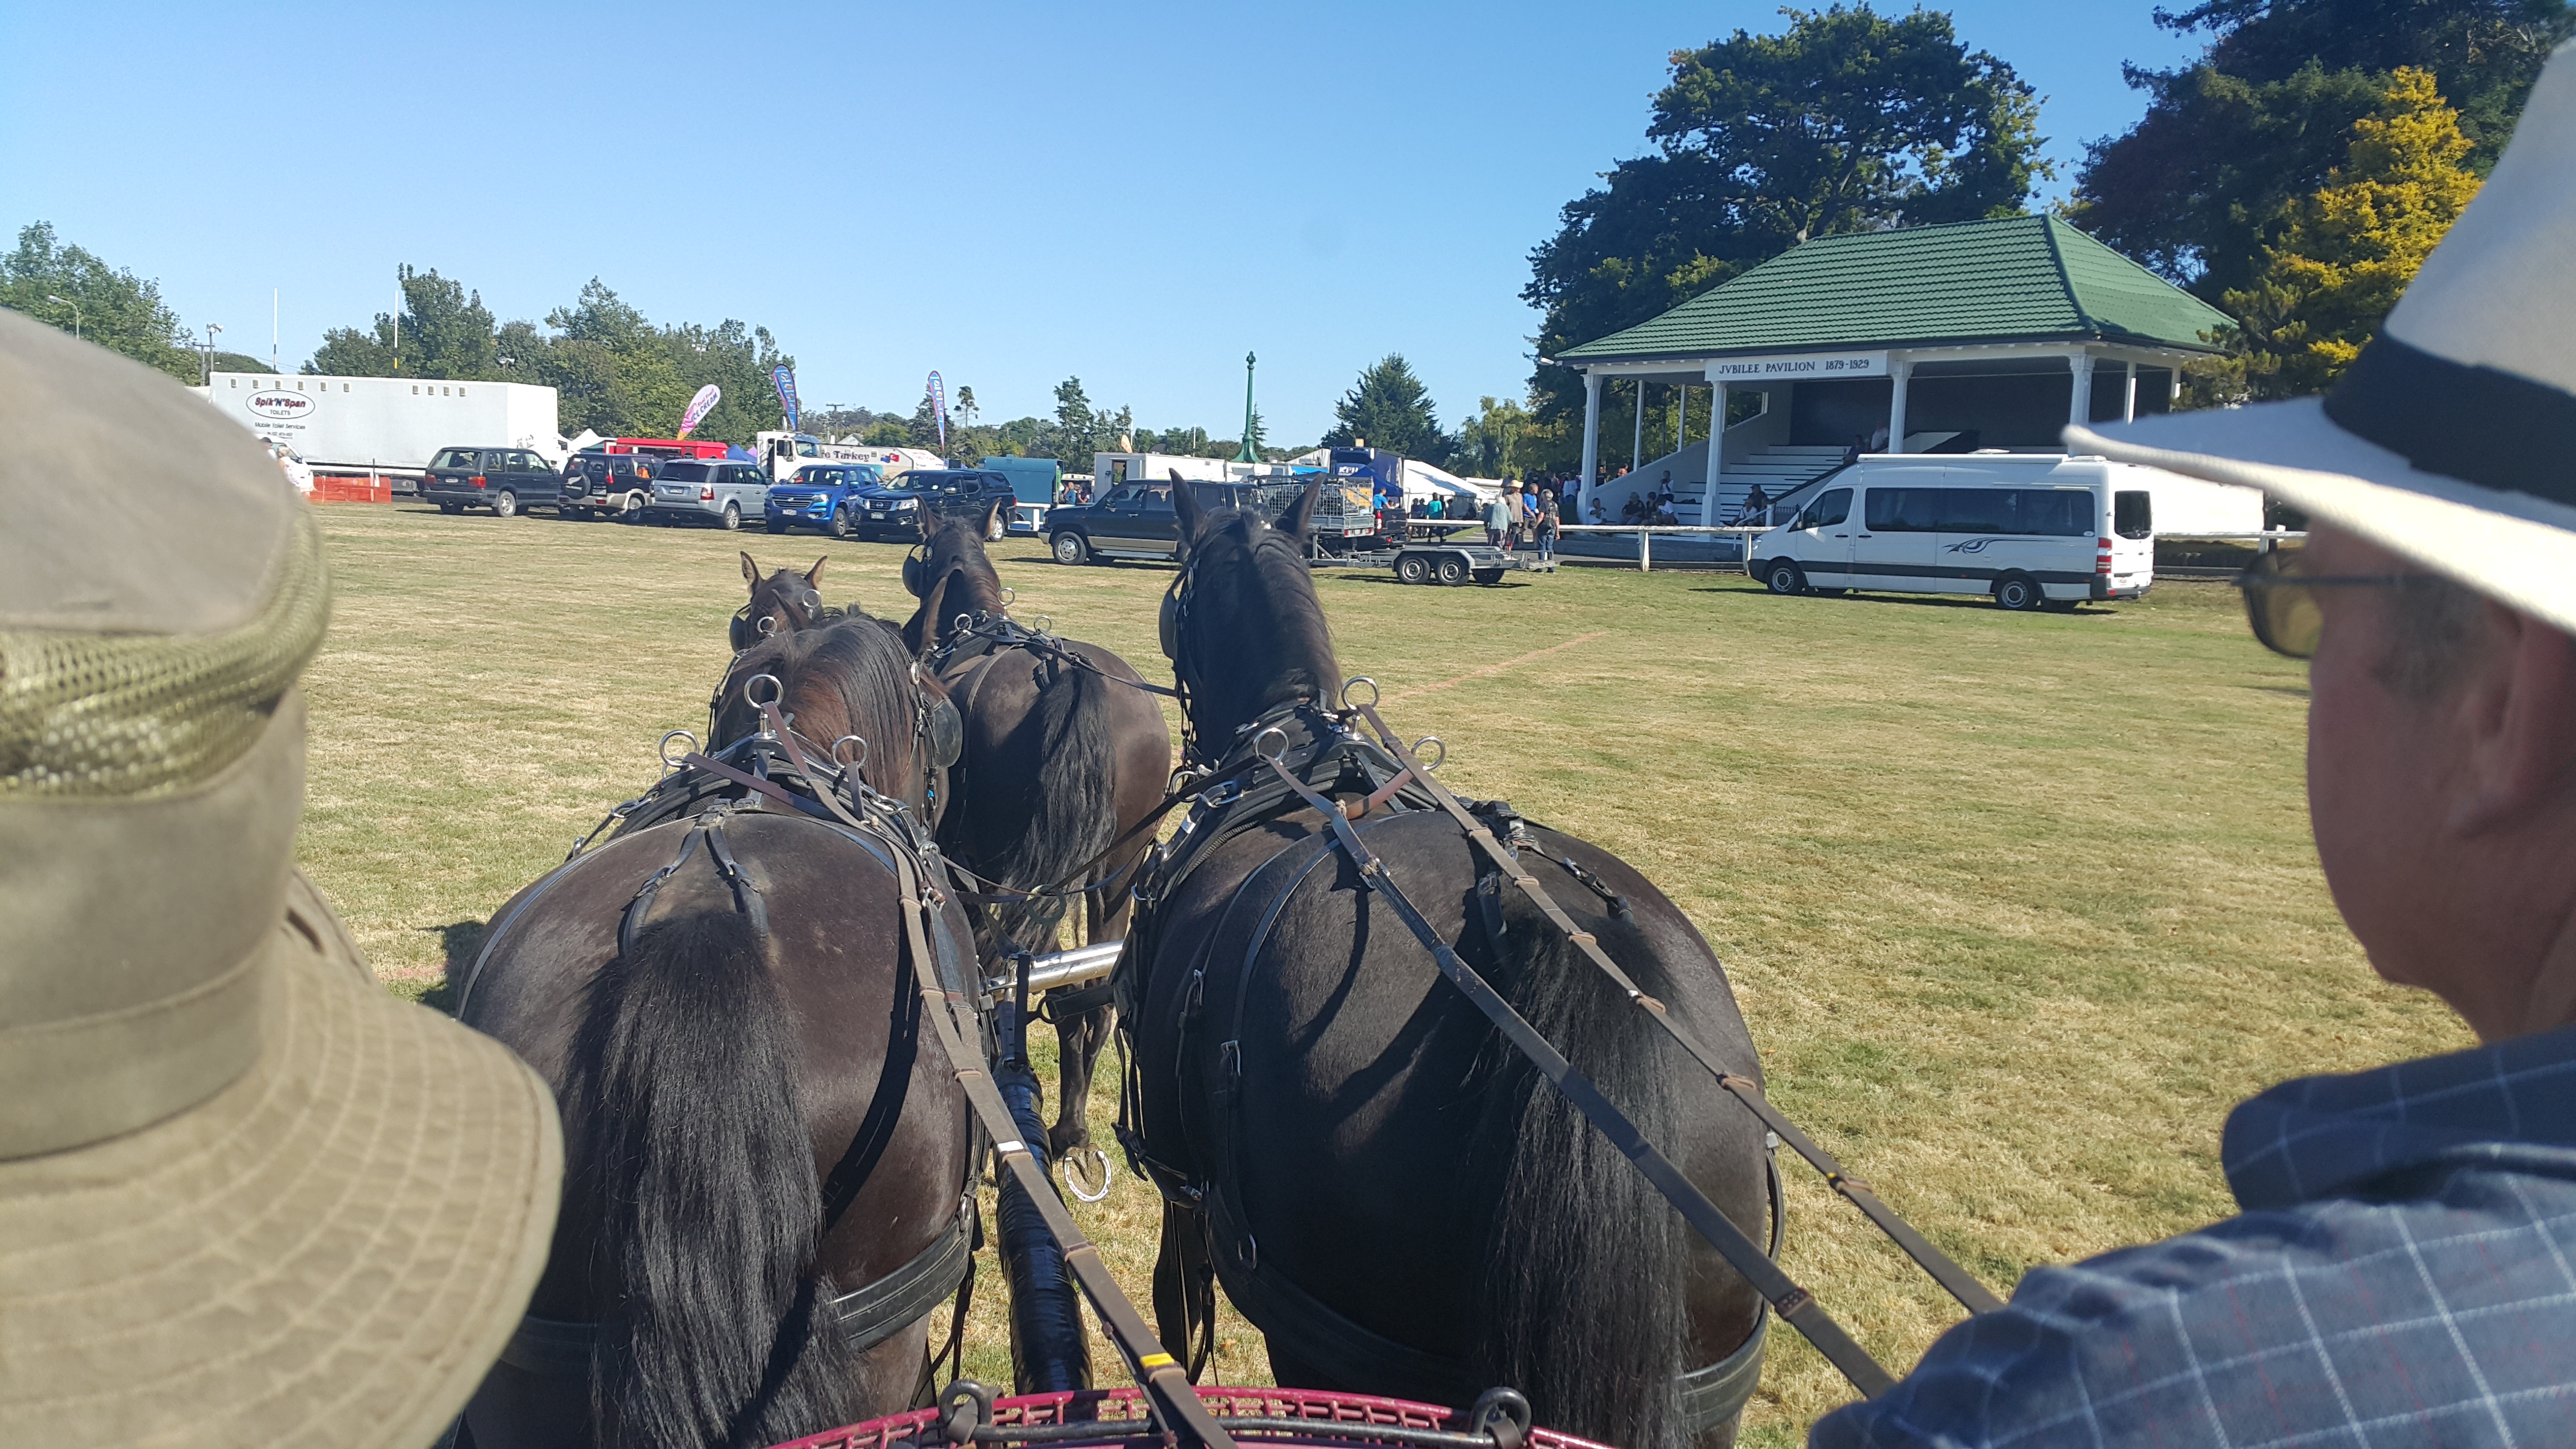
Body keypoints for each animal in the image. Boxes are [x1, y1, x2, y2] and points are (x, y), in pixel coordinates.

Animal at [902, 508, 1175, 1160]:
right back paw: (1070, 1129)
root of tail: (1067, 678)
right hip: (1116, 875)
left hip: (1017, 878)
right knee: (1088, 1000)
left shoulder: (966, 863)